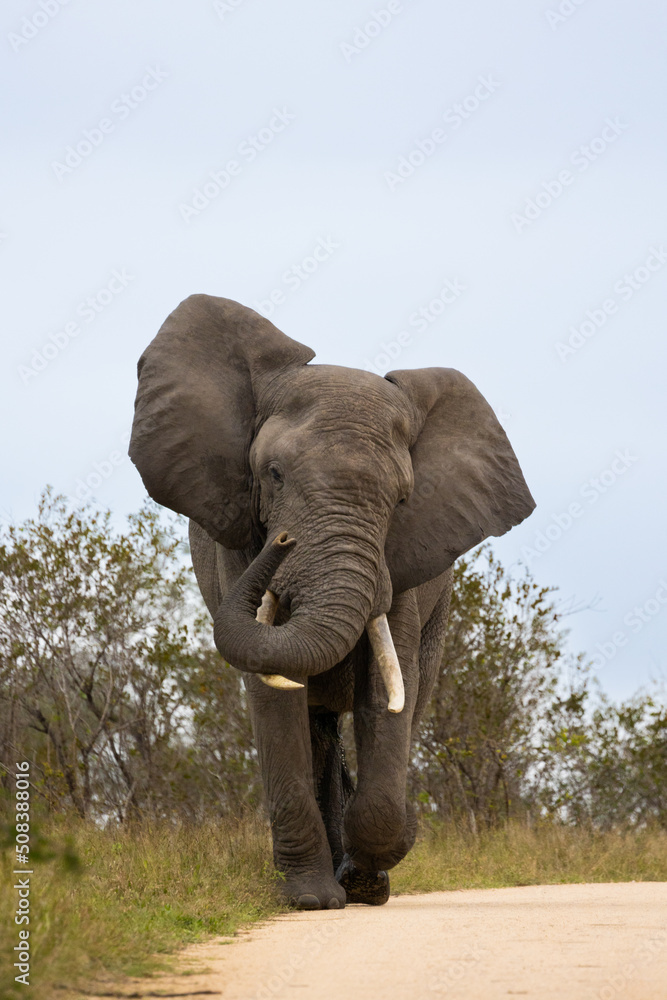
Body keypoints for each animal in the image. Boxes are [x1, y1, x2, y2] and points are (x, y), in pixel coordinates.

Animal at [129, 294, 535, 910]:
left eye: (402, 499)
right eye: (273, 475)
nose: (283, 541)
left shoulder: (401, 565)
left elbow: (387, 691)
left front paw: (368, 878)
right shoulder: (236, 543)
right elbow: (273, 693)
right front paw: (311, 900)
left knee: (408, 700)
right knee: (315, 727)